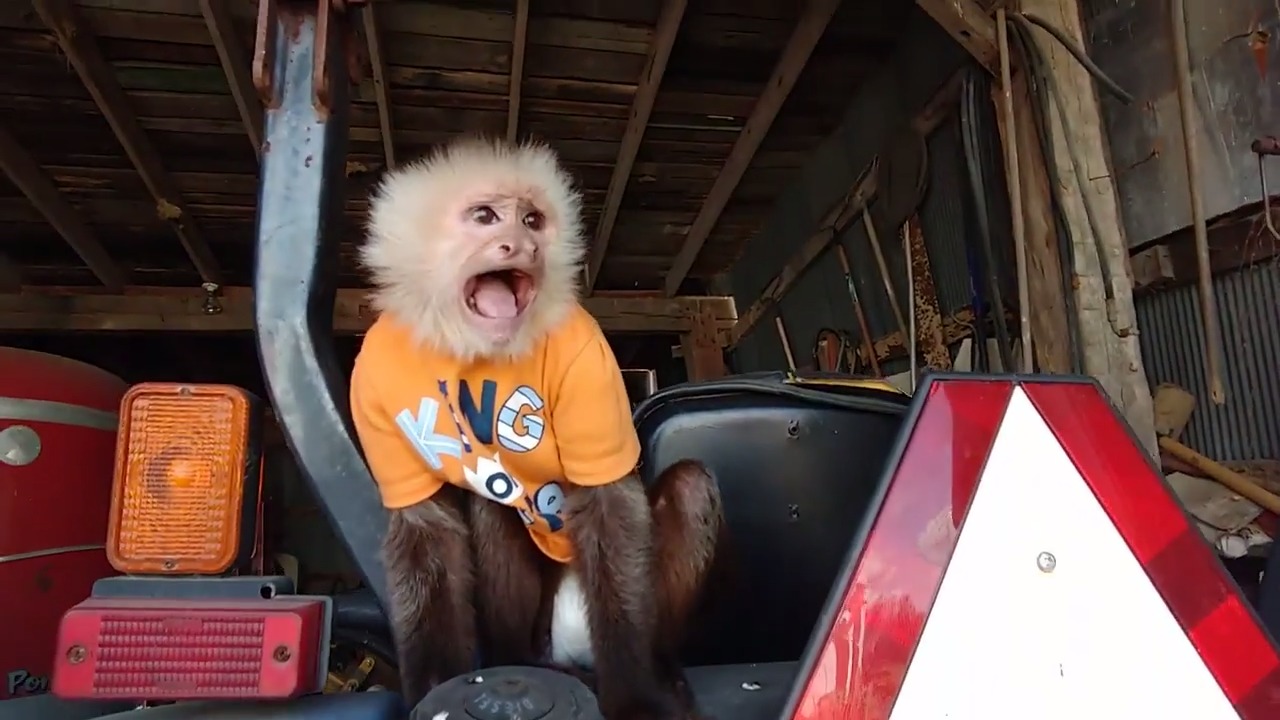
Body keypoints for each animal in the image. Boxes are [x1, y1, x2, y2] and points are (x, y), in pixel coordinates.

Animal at [347, 135, 724, 719]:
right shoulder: (371, 373)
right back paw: (518, 659)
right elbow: (426, 528)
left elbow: (610, 504)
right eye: (485, 216)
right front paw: (437, 686)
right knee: (492, 505)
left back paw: (660, 666)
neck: (471, 345)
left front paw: (636, 698)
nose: (521, 246)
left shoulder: (585, 345)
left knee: (687, 489)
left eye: (532, 220)